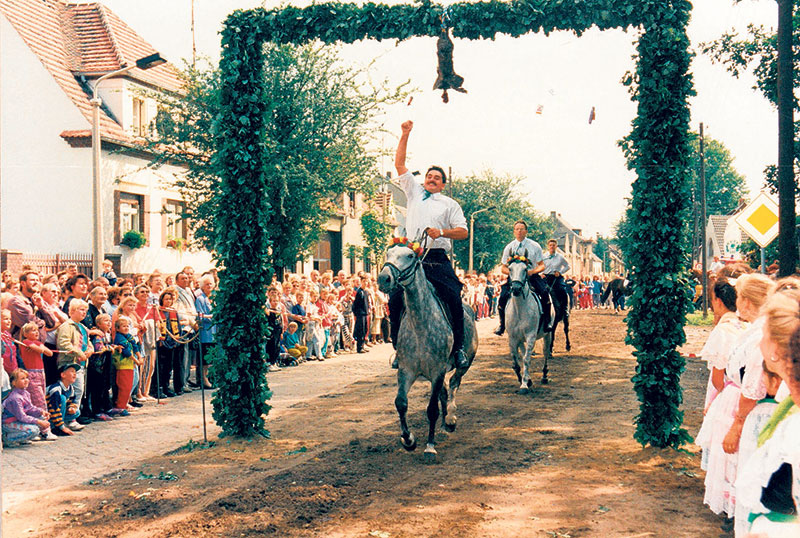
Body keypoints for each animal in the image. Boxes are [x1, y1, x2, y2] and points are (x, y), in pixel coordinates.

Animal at [506, 255, 552, 390]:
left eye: (525, 269)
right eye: (510, 269)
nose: (516, 289)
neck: (520, 309)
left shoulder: (531, 335)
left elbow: (527, 359)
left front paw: (524, 385)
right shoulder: (513, 337)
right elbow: (516, 361)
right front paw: (524, 379)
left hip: (547, 334)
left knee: (545, 352)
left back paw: (544, 376)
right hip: (521, 338)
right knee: (523, 352)